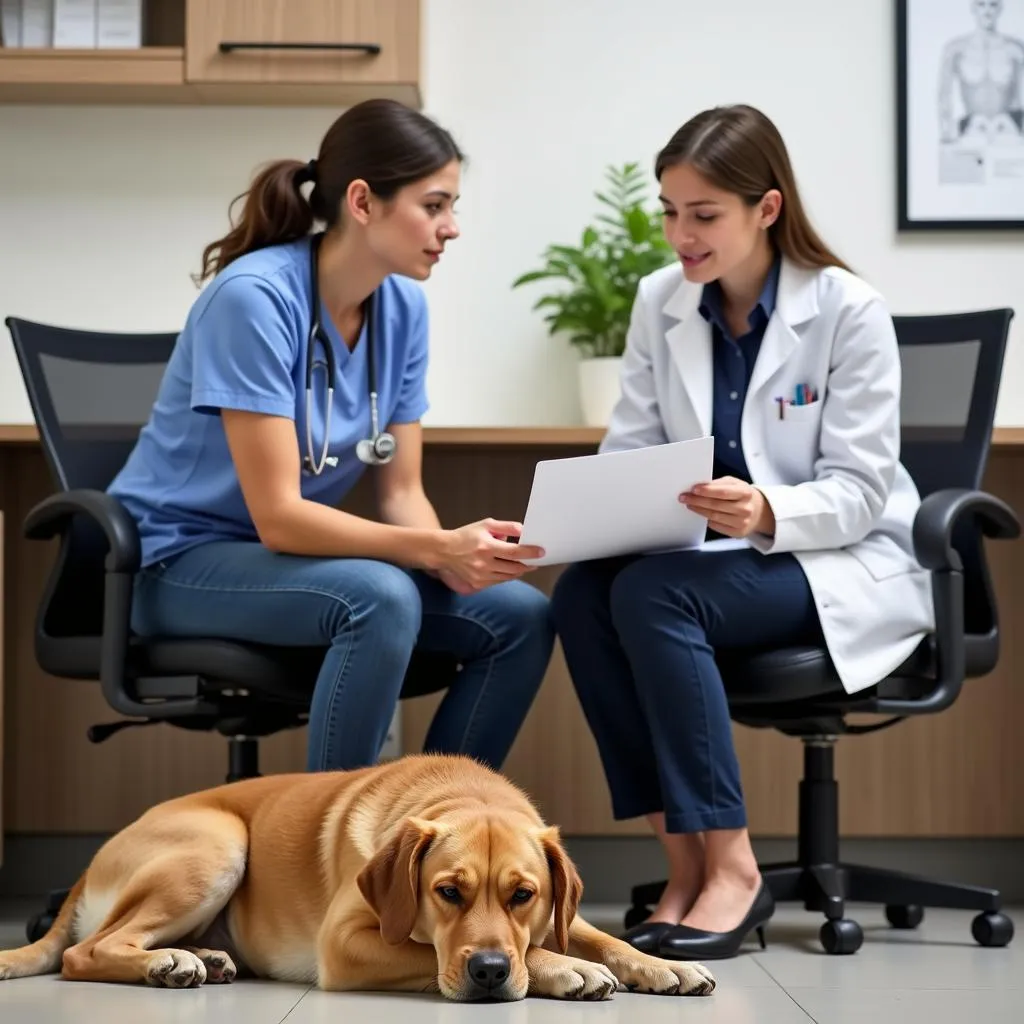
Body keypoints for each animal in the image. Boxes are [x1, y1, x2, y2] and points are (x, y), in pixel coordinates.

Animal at [0, 753, 716, 999]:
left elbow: (601, 937)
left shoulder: (560, 911)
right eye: (446, 893)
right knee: (87, 952)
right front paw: (563, 969)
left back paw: (202, 956)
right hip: (216, 845)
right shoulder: (345, 945)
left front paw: (663, 965)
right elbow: (438, 951)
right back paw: (164, 962)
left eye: (523, 894)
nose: (488, 972)